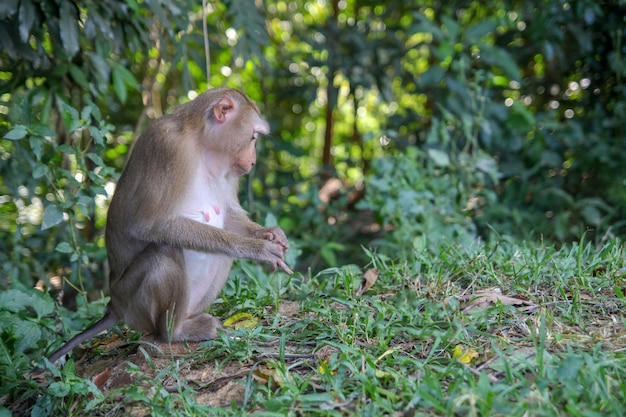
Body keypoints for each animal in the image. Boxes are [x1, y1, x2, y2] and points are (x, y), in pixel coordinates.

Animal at [46, 88, 292, 364]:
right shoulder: (169, 147)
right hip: (134, 305)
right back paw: (174, 332)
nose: (252, 161)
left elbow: (228, 217)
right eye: (253, 136)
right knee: (164, 252)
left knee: (219, 254)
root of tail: (114, 305)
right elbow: (149, 225)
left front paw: (269, 234)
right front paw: (255, 248)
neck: (201, 144)